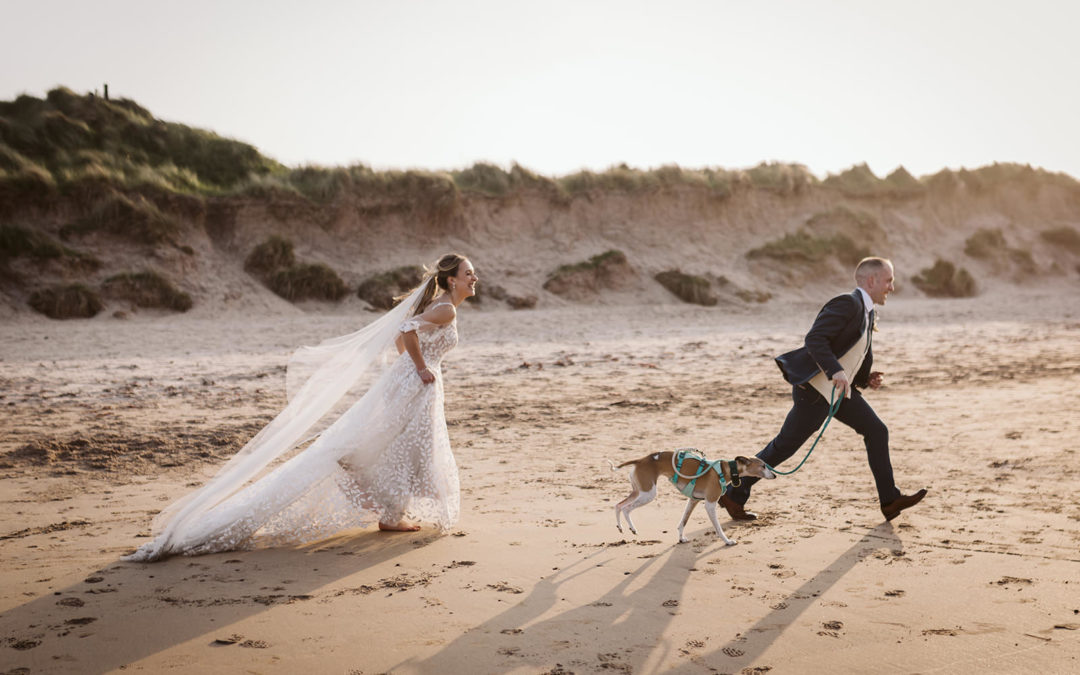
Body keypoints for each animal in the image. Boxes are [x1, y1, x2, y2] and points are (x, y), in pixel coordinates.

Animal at [609, 449, 777, 544]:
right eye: (763, 466)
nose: (775, 475)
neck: (726, 470)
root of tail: (641, 460)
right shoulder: (710, 504)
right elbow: (718, 528)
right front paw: (727, 541)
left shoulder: (693, 500)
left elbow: (683, 522)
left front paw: (681, 538)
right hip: (648, 494)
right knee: (626, 508)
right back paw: (632, 528)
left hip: (639, 491)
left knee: (618, 505)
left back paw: (620, 527)